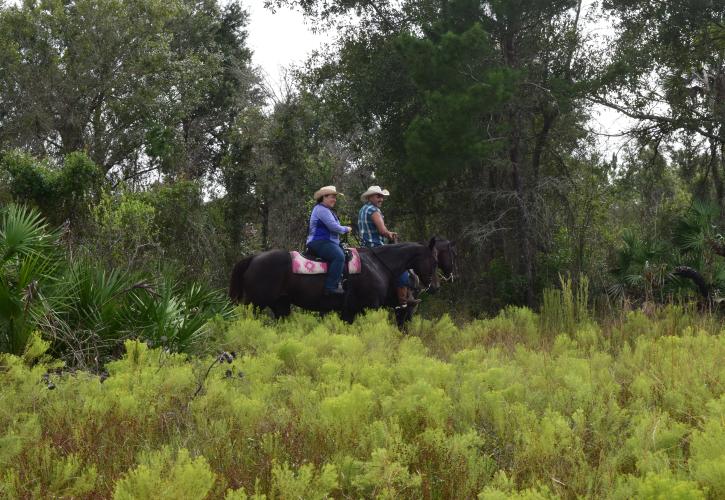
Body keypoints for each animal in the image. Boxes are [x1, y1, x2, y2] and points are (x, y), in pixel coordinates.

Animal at [228, 237, 442, 322]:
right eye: (434, 261)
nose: (435, 287)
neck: (378, 264)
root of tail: (253, 258)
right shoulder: (368, 307)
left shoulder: (348, 311)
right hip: (255, 303)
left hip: (280, 305)